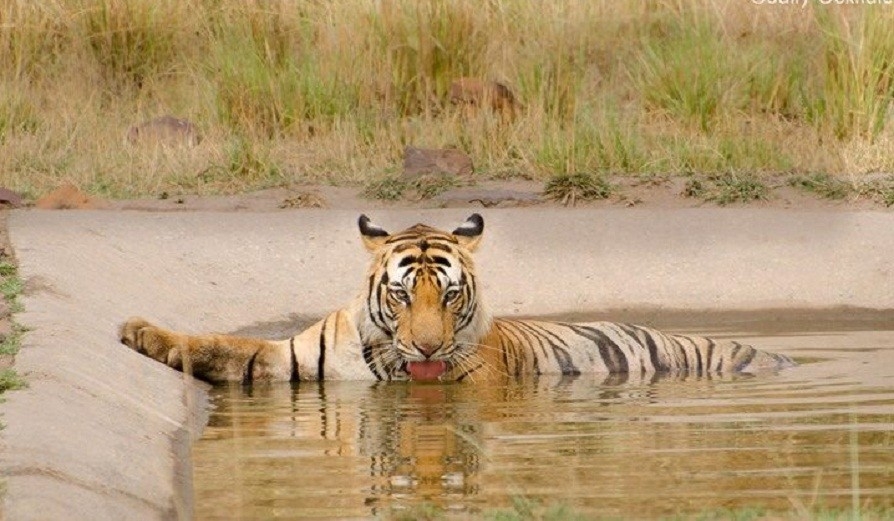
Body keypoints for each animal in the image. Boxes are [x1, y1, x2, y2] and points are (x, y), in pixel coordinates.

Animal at [120, 214, 795, 383]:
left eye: (448, 297)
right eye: (400, 294)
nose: (425, 348)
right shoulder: (288, 359)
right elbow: (218, 345)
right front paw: (138, 333)